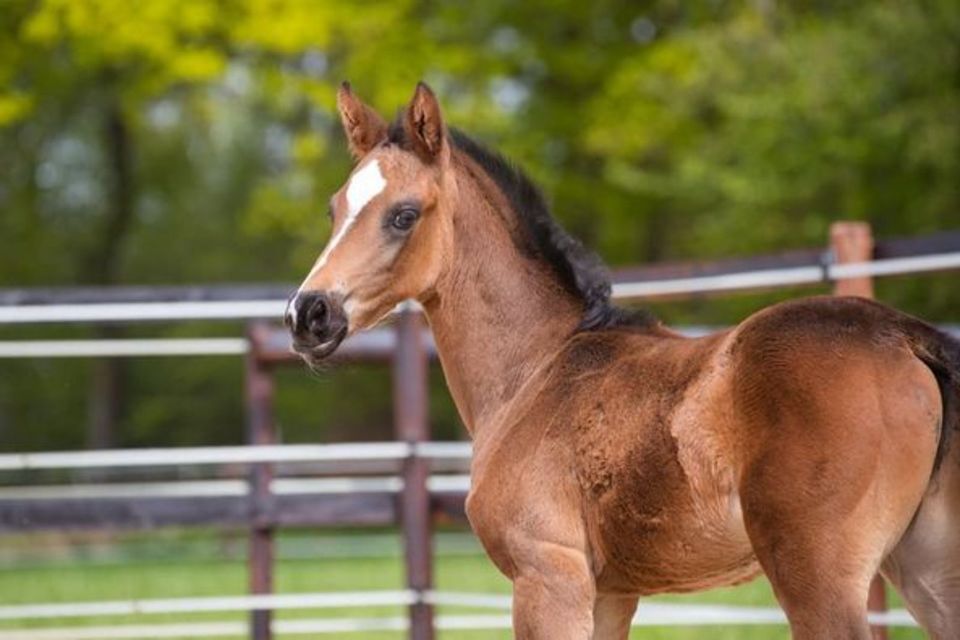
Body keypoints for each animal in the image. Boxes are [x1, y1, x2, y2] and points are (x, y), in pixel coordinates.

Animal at [288, 82, 960, 636]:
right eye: (333, 208)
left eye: (404, 215)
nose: (307, 314)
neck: (536, 368)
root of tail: (905, 337)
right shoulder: (610, 593)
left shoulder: (547, 578)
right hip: (928, 571)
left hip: (817, 576)